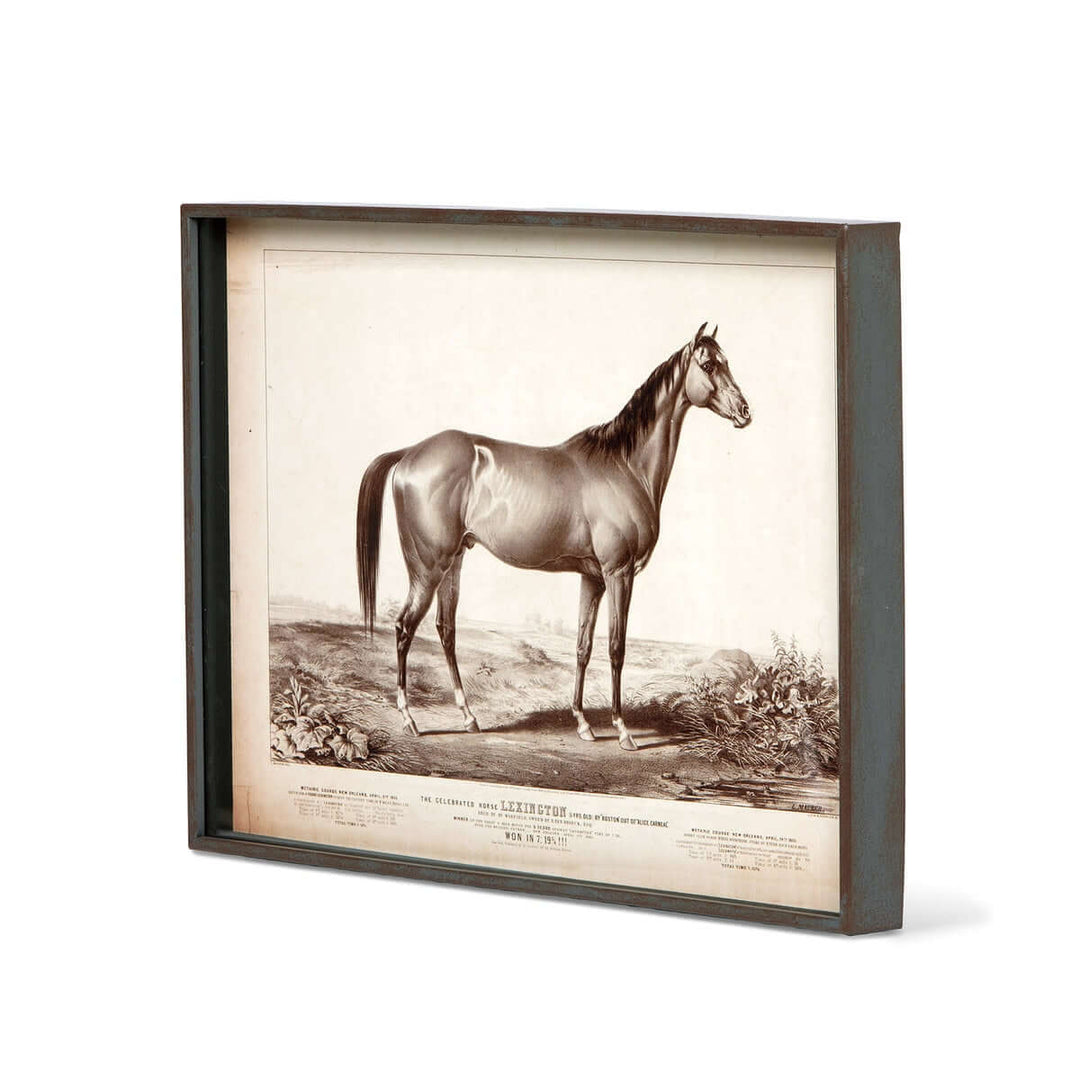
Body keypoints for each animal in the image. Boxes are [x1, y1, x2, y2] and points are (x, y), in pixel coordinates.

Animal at [355, 322, 751, 751]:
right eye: (709, 364)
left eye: (726, 360)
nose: (746, 412)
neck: (625, 466)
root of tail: (410, 453)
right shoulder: (618, 574)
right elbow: (616, 648)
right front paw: (623, 730)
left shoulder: (593, 577)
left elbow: (582, 647)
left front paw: (583, 723)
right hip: (428, 568)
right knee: (404, 627)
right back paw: (409, 719)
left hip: (453, 563)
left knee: (446, 631)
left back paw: (469, 717)